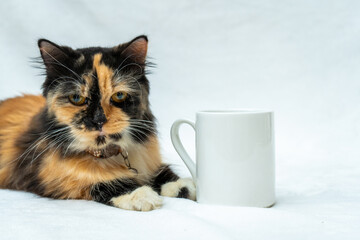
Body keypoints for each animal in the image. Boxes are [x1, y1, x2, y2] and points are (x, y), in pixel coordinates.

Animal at [0, 34, 194, 211]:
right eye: (77, 98)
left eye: (119, 96)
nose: (99, 120)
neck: (109, 154)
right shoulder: (54, 176)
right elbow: (105, 181)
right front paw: (140, 195)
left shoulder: (148, 160)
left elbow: (163, 172)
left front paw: (184, 186)